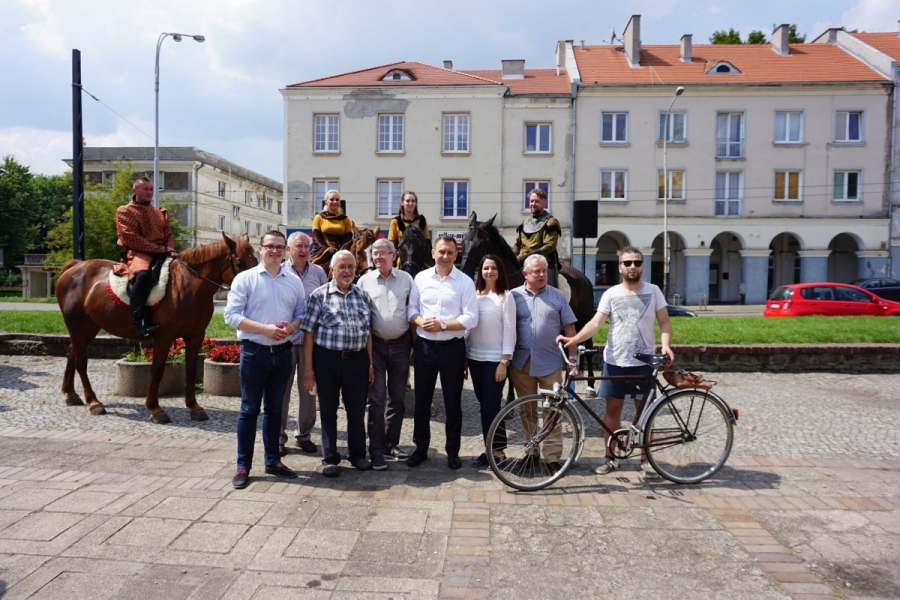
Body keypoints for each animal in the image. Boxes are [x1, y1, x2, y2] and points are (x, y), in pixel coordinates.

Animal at [55, 232, 258, 423]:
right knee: (81, 361)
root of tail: (75, 266)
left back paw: (71, 395)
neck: (186, 286)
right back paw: (94, 402)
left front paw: (194, 407)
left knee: (72, 353)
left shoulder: (195, 336)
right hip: (78, 326)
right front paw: (155, 409)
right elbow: (157, 370)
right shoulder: (164, 336)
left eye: (256, 261)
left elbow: (191, 370)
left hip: (89, 327)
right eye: (240, 262)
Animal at [460, 212, 598, 396]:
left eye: (481, 243)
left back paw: (590, 386)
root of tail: (584, 278)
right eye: (464, 241)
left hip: (585, 319)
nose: (465, 271)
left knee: (588, 348)